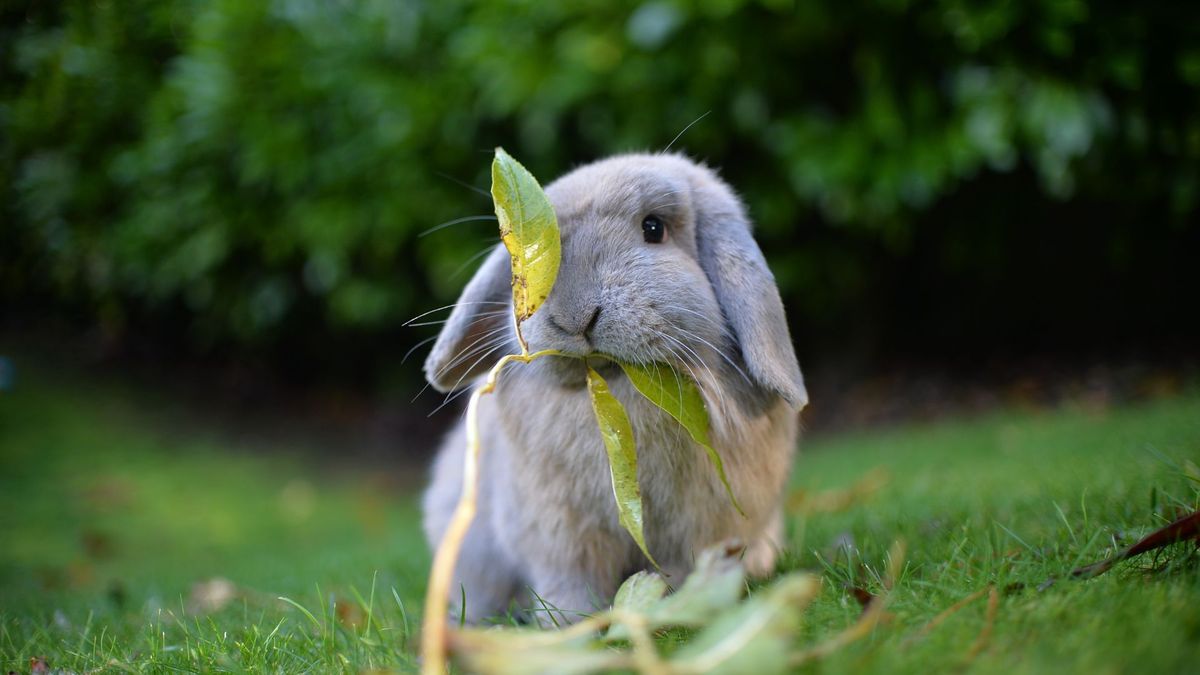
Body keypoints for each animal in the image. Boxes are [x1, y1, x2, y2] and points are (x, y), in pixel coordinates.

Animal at [421, 153, 807, 625]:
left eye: (654, 228)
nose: (576, 316)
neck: (614, 389)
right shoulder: (559, 534)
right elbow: (571, 583)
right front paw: (570, 624)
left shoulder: (704, 525)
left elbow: (686, 566)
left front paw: (680, 605)